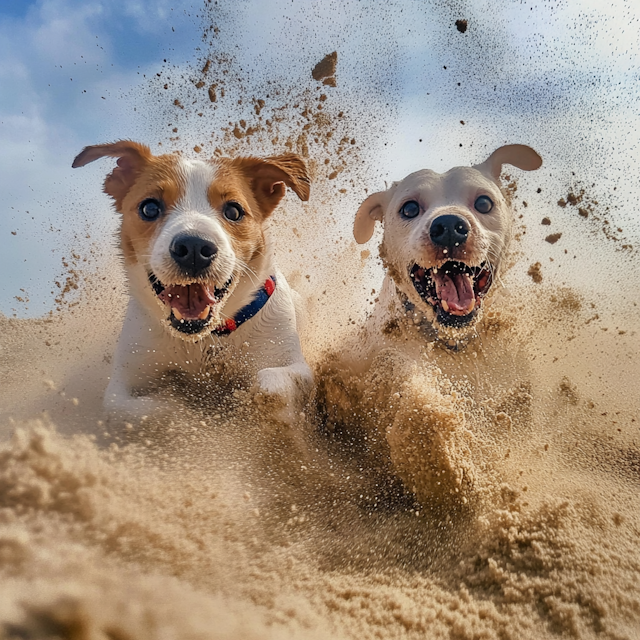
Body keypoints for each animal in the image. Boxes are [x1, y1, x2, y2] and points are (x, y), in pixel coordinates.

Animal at [72, 142, 312, 428]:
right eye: (149, 208)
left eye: (234, 211)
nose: (194, 247)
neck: (203, 341)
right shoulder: (125, 377)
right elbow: (132, 408)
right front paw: (185, 413)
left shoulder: (292, 361)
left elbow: (270, 383)